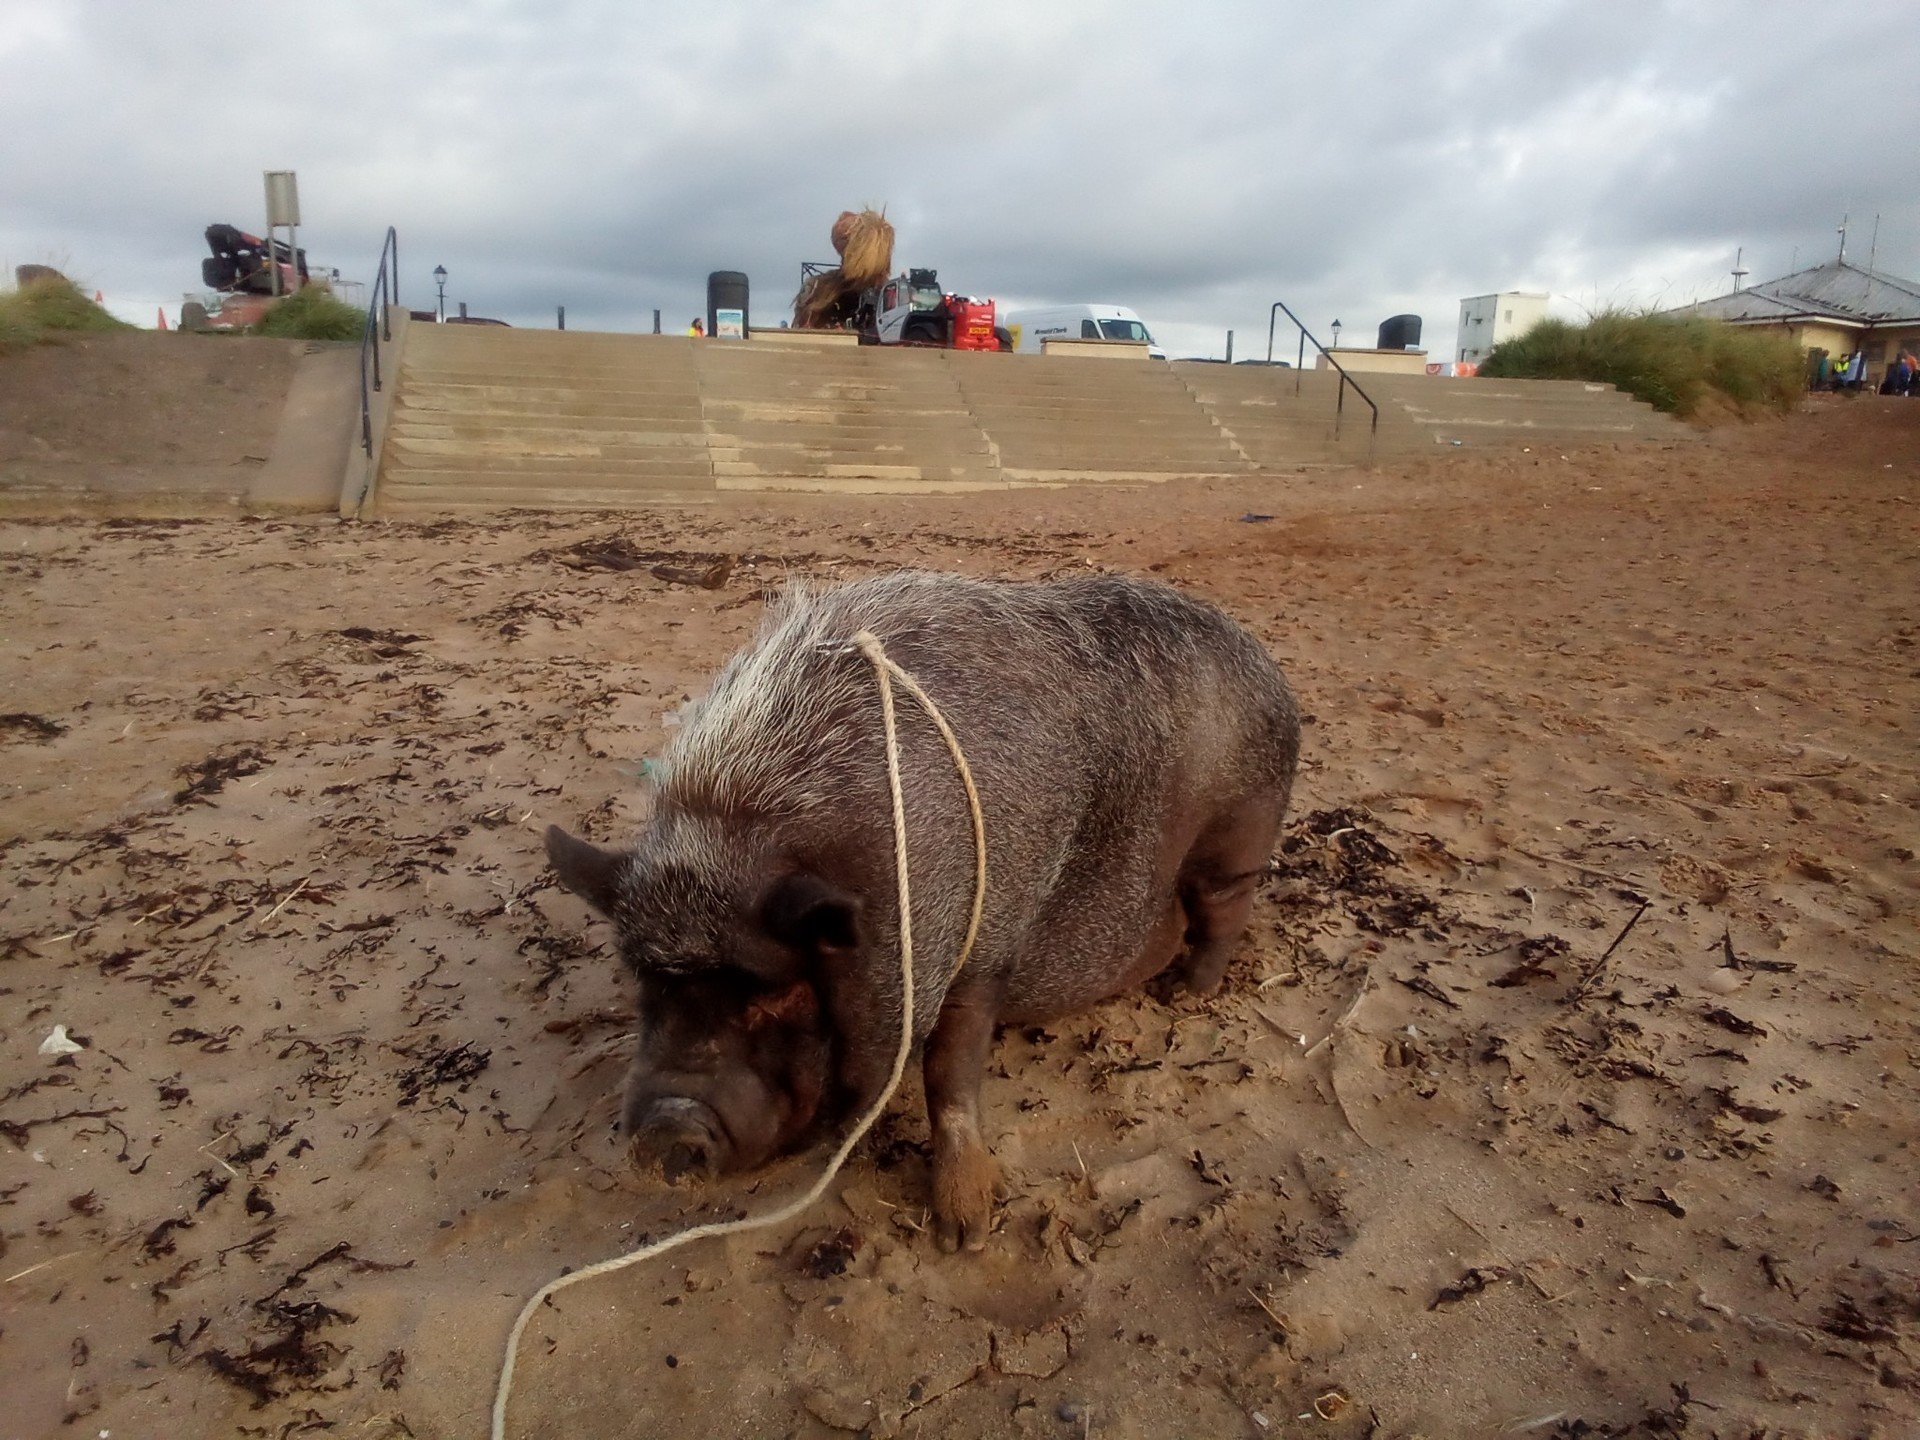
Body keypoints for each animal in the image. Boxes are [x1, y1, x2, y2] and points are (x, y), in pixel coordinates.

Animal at [549, 572, 1297, 1251]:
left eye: (776, 994)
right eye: (646, 985)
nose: (662, 1132)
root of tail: (1267, 665)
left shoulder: (981, 947)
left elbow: (949, 1076)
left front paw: (963, 1234)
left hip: (1239, 831)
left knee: (1224, 909)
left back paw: (1186, 993)